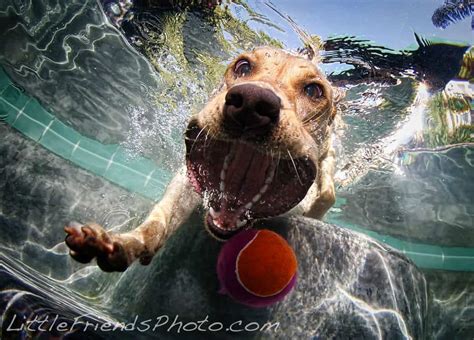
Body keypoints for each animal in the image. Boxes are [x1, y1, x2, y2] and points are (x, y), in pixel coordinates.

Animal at [65, 46, 342, 272]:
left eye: (314, 90)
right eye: (243, 66)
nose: (252, 103)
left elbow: (326, 193)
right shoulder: (185, 183)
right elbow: (158, 221)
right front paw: (124, 244)